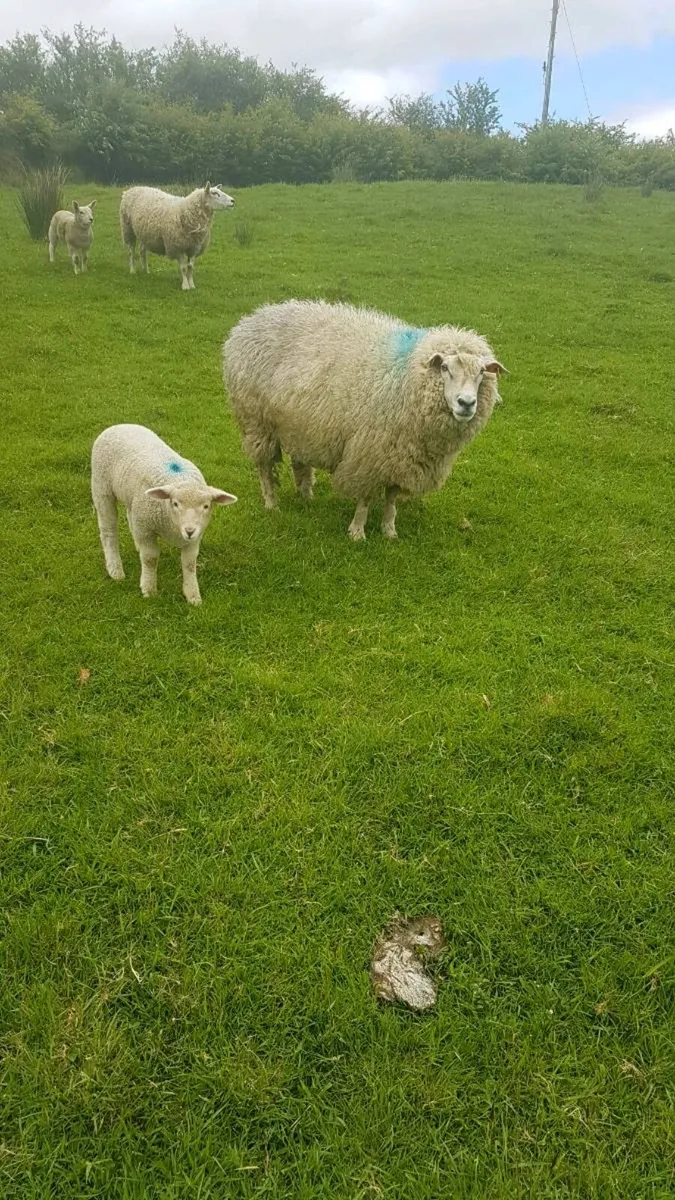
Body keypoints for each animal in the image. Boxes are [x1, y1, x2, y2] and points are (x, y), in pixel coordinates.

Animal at [91, 424, 237, 604]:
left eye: (206, 506)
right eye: (175, 503)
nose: (189, 531)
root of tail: (119, 425)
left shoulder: (195, 538)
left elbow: (189, 563)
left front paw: (193, 595)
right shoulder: (147, 529)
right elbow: (150, 559)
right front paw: (149, 589)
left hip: (134, 502)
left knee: (130, 516)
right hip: (101, 488)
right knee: (108, 530)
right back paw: (115, 569)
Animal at [222, 300, 508, 540]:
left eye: (482, 372)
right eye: (445, 368)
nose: (466, 403)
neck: (407, 376)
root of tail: (253, 318)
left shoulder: (400, 455)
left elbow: (391, 497)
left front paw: (389, 530)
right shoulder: (369, 453)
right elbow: (366, 498)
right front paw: (357, 532)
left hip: (299, 422)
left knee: (299, 462)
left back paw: (306, 496)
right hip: (257, 421)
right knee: (264, 466)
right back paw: (271, 503)